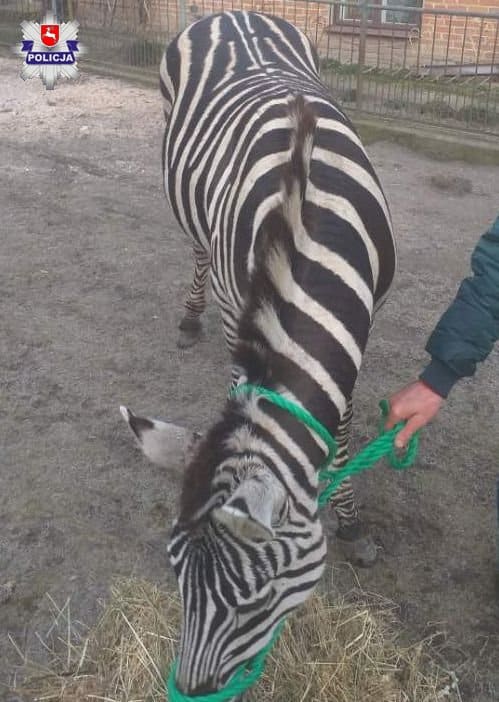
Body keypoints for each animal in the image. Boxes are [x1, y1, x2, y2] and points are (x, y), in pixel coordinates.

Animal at [122, 9, 395, 696]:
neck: (305, 218)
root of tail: (234, 12)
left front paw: (349, 516)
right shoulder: (237, 307)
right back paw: (187, 317)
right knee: (195, 248)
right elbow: (242, 388)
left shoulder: (365, 318)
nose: (190, 690)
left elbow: (341, 421)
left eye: (257, 598)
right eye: (173, 575)